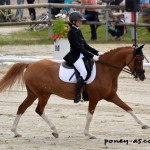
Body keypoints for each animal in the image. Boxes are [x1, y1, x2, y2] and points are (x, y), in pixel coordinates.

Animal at [0, 45, 149, 139]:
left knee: (22, 108)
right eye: (138, 60)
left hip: (33, 94)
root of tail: (30, 64)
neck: (106, 70)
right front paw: (89, 134)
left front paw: (143, 124)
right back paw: (54, 131)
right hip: (43, 94)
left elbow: (127, 108)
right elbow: (89, 116)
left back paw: (15, 132)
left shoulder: (111, 96)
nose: (142, 76)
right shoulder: (94, 98)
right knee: (39, 110)